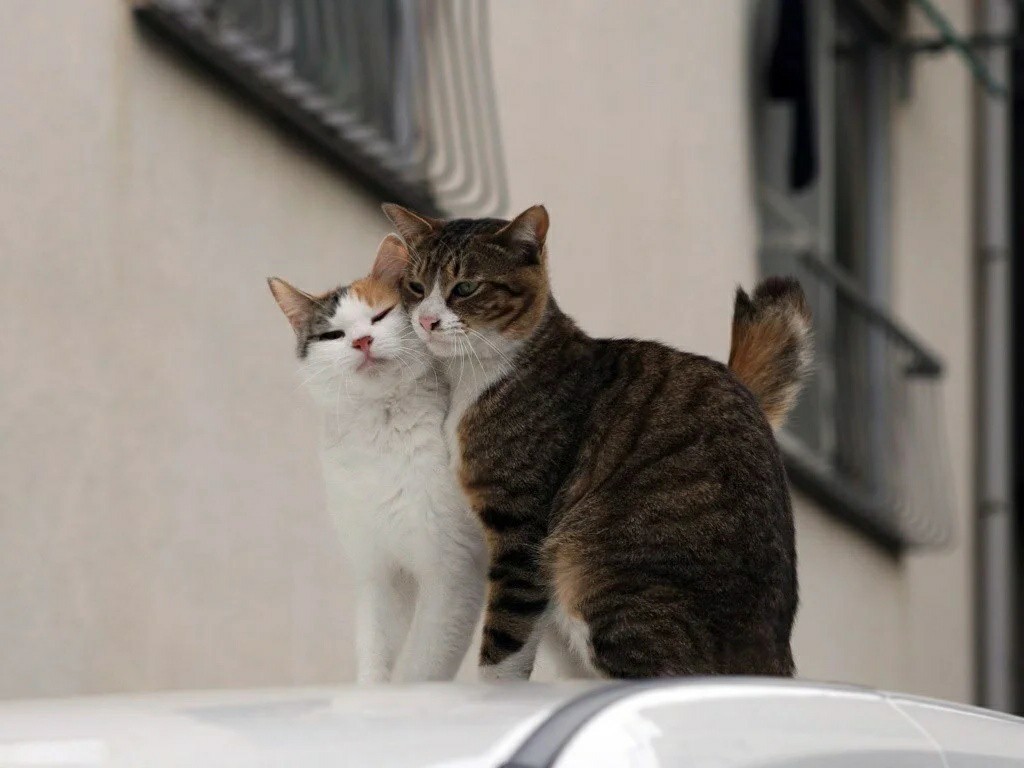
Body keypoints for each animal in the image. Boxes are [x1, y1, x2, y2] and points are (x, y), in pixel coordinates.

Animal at [268, 236, 483, 684]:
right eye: (333, 334)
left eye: (380, 315)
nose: (361, 342)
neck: (381, 431)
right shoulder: (380, 573)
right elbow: (374, 648)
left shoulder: (454, 572)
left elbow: (423, 665)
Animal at [382, 202, 806, 679]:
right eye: (416, 286)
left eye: (466, 287)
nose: (426, 320)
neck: (474, 378)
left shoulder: (520, 531)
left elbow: (505, 640)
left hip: (596, 578)